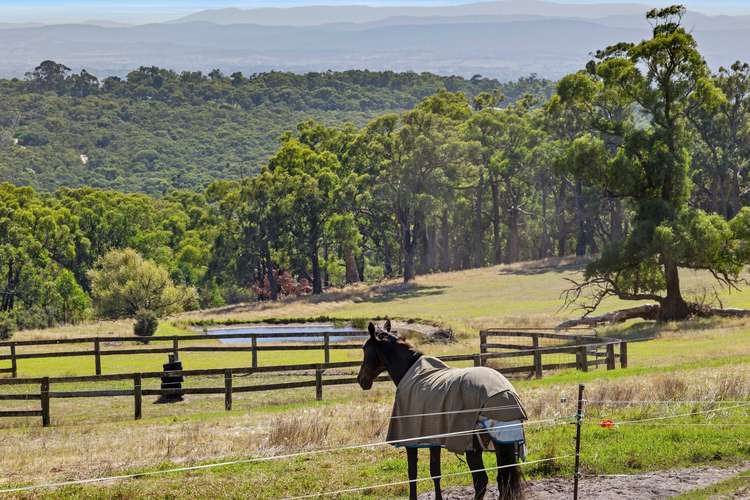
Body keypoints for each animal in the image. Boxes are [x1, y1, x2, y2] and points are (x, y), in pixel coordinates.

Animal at [360, 320, 528, 500]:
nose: (361, 379)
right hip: (502, 444)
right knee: (502, 481)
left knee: (482, 481)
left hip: (473, 447)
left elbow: (413, 473)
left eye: (364, 348)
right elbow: (435, 472)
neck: (411, 371)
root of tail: (504, 394)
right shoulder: (433, 439)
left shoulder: (410, 441)